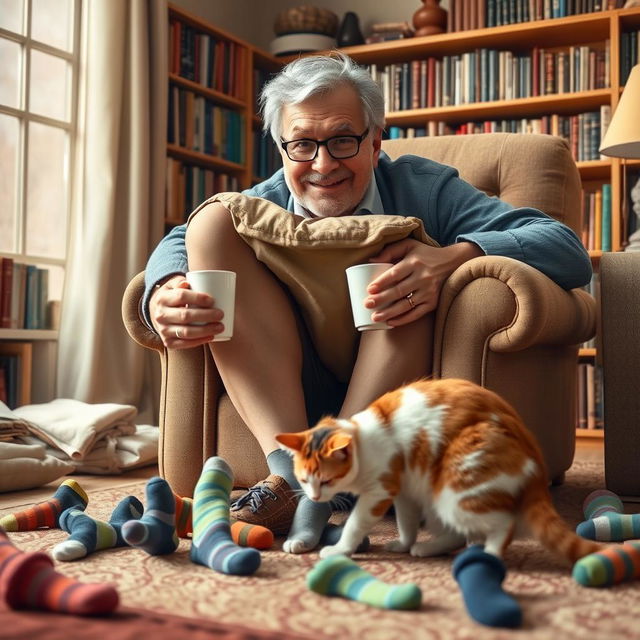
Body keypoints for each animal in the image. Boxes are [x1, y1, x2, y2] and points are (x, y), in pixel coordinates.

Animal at [276, 378, 604, 564]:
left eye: (327, 480)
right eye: (304, 480)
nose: (314, 498)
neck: (362, 441)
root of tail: (530, 444)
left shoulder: (378, 494)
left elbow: (355, 525)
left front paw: (340, 550)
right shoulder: (404, 493)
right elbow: (406, 524)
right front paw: (403, 544)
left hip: (454, 492)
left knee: (504, 523)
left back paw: (491, 554)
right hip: (434, 495)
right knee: (459, 534)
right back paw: (426, 548)